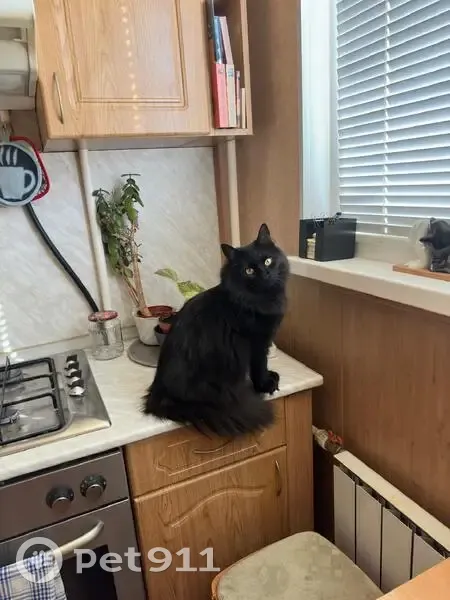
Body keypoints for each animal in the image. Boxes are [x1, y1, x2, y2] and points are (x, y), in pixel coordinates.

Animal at [143, 223, 290, 436]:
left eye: (268, 261)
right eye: (249, 270)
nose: (266, 274)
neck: (259, 301)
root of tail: (159, 392)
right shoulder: (257, 343)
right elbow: (260, 366)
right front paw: (265, 384)